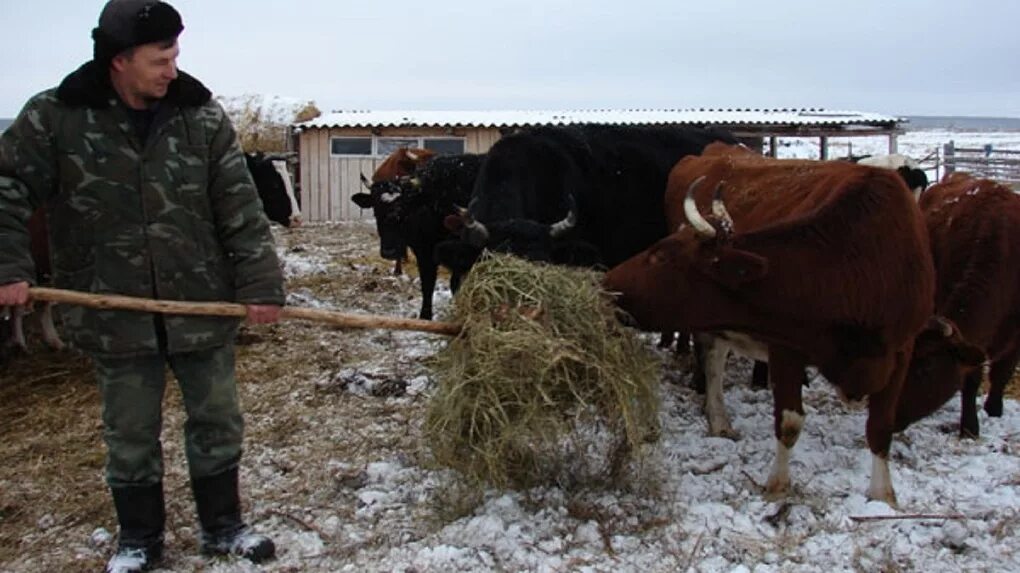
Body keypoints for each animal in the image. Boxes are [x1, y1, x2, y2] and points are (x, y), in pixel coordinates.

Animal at [352, 151, 483, 318]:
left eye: (404, 209)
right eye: (376, 211)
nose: (389, 252)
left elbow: (453, 283)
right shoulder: (423, 251)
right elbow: (427, 285)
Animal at [599, 142, 934, 503]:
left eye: (660, 255)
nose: (607, 280)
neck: (862, 268)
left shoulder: (901, 350)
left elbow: (881, 427)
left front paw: (883, 495)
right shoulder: (785, 346)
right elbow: (789, 423)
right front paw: (777, 487)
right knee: (713, 359)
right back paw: (718, 418)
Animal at [897, 171, 1015, 434]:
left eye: (925, 369)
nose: (890, 417)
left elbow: (1003, 372)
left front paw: (994, 410)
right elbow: (971, 379)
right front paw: (970, 426)